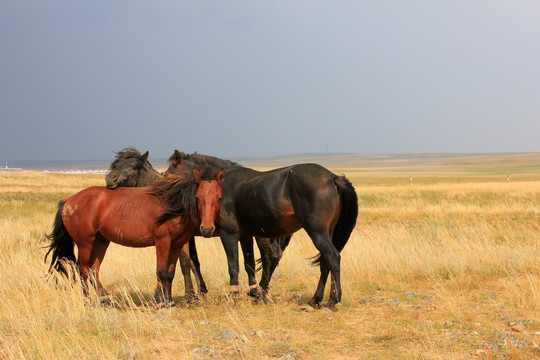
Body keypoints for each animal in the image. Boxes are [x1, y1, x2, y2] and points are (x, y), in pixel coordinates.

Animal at [43, 165, 226, 304]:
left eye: (219, 198)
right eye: (198, 197)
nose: (207, 229)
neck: (173, 205)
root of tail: (68, 201)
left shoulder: (176, 244)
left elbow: (171, 273)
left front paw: (169, 301)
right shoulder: (162, 242)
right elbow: (161, 272)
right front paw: (160, 301)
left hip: (101, 242)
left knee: (94, 270)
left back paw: (105, 299)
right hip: (85, 244)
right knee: (83, 271)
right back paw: (88, 301)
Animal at [104, 147, 208, 296]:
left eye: (135, 166)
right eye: (115, 165)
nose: (110, 178)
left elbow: (184, 263)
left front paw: (189, 295)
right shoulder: (189, 237)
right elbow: (194, 263)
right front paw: (202, 291)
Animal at [167, 149, 356, 310]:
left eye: (170, 172)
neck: (221, 186)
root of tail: (333, 178)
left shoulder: (228, 234)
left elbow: (232, 266)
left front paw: (232, 296)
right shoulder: (245, 236)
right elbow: (249, 264)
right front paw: (253, 292)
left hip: (317, 232)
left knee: (332, 258)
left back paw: (332, 301)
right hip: (326, 234)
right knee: (324, 262)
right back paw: (314, 301)